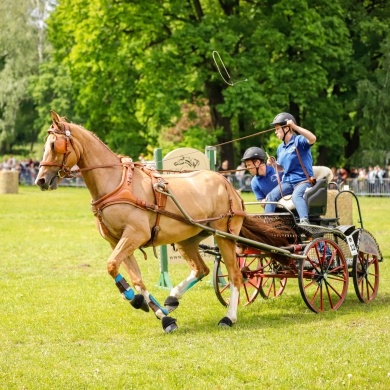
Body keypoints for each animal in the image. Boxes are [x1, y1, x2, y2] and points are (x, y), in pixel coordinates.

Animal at [36, 111, 298, 334]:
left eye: (54, 145)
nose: (40, 180)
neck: (116, 183)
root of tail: (228, 184)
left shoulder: (135, 235)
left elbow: (112, 266)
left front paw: (138, 302)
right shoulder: (118, 241)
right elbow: (134, 278)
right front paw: (160, 314)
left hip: (225, 235)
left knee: (235, 275)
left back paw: (229, 317)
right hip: (188, 239)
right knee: (202, 269)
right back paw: (172, 300)